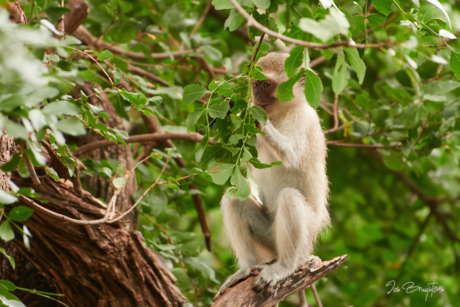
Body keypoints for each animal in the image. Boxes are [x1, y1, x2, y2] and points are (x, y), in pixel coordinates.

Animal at [216, 53, 330, 300]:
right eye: (255, 85)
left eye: (266, 85)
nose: (256, 98)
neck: (281, 113)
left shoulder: (304, 118)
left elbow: (290, 154)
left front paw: (253, 116)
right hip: (268, 237)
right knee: (233, 197)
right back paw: (246, 267)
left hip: (305, 241)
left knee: (289, 197)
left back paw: (284, 267)